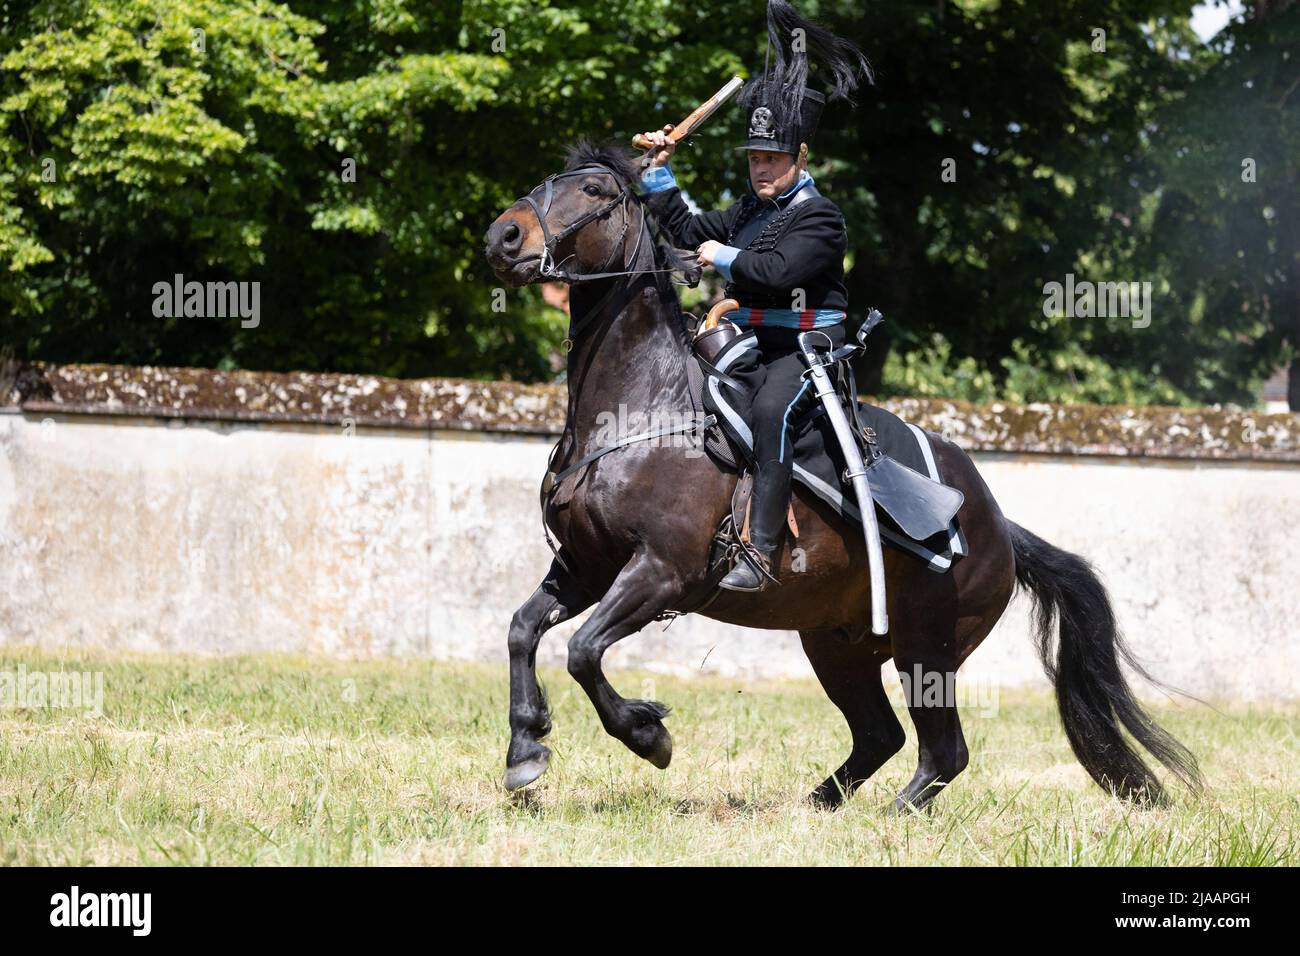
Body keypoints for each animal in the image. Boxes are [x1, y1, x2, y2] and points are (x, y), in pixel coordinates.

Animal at [483, 141, 1201, 811]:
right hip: (836, 646)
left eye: (595, 190)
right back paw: (813, 808)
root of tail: (998, 527)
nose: (503, 237)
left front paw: (646, 734)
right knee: (881, 735)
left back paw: (890, 815)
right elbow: (522, 630)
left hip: (925, 648)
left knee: (944, 751)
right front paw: (525, 748)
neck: (642, 409)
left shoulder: (660, 572)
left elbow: (582, 651)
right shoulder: (586, 567)